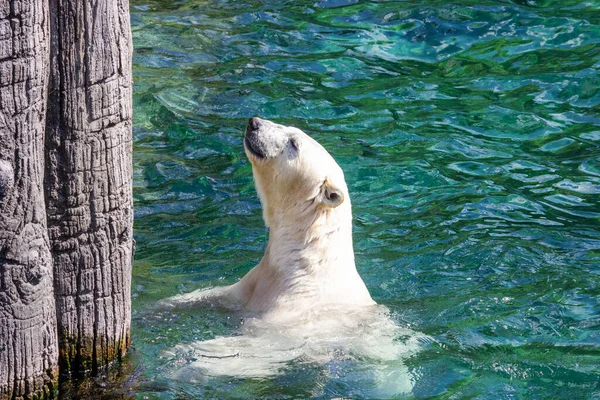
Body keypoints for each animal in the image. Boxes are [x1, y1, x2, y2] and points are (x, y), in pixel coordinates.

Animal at [159, 117, 422, 396]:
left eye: (293, 143)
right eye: (287, 127)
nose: (254, 122)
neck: (302, 263)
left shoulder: (296, 318)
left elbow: (261, 348)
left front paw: (185, 358)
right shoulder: (255, 282)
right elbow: (216, 296)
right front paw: (159, 308)